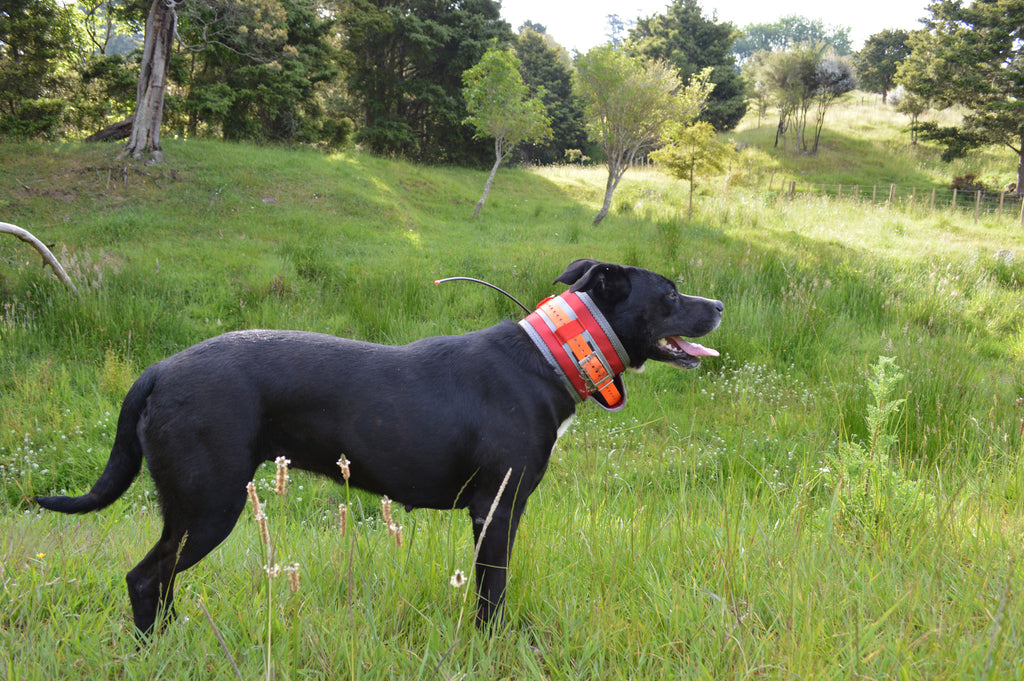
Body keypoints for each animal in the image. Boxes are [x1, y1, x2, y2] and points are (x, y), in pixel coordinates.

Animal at [32, 259, 720, 630]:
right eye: (670, 294)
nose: (716, 303)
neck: (553, 357)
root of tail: (157, 371)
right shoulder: (495, 510)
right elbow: (492, 592)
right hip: (209, 507)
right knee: (145, 579)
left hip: (187, 511)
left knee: (161, 582)